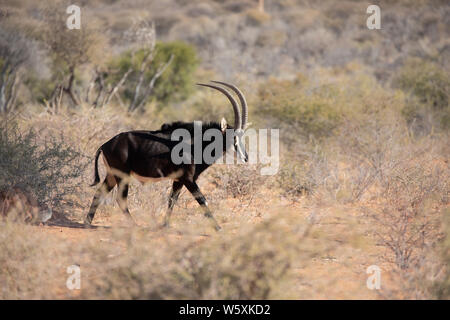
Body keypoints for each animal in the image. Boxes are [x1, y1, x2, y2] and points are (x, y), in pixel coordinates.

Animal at [86, 80, 248, 230]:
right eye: (233, 138)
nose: (245, 158)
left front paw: (165, 225)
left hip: (112, 175)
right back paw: (134, 225)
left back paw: (87, 222)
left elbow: (172, 200)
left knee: (99, 193)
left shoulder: (178, 180)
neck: (195, 144)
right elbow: (202, 199)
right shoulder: (188, 179)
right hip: (122, 175)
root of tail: (105, 144)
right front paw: (218, 227)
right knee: (121, 199)